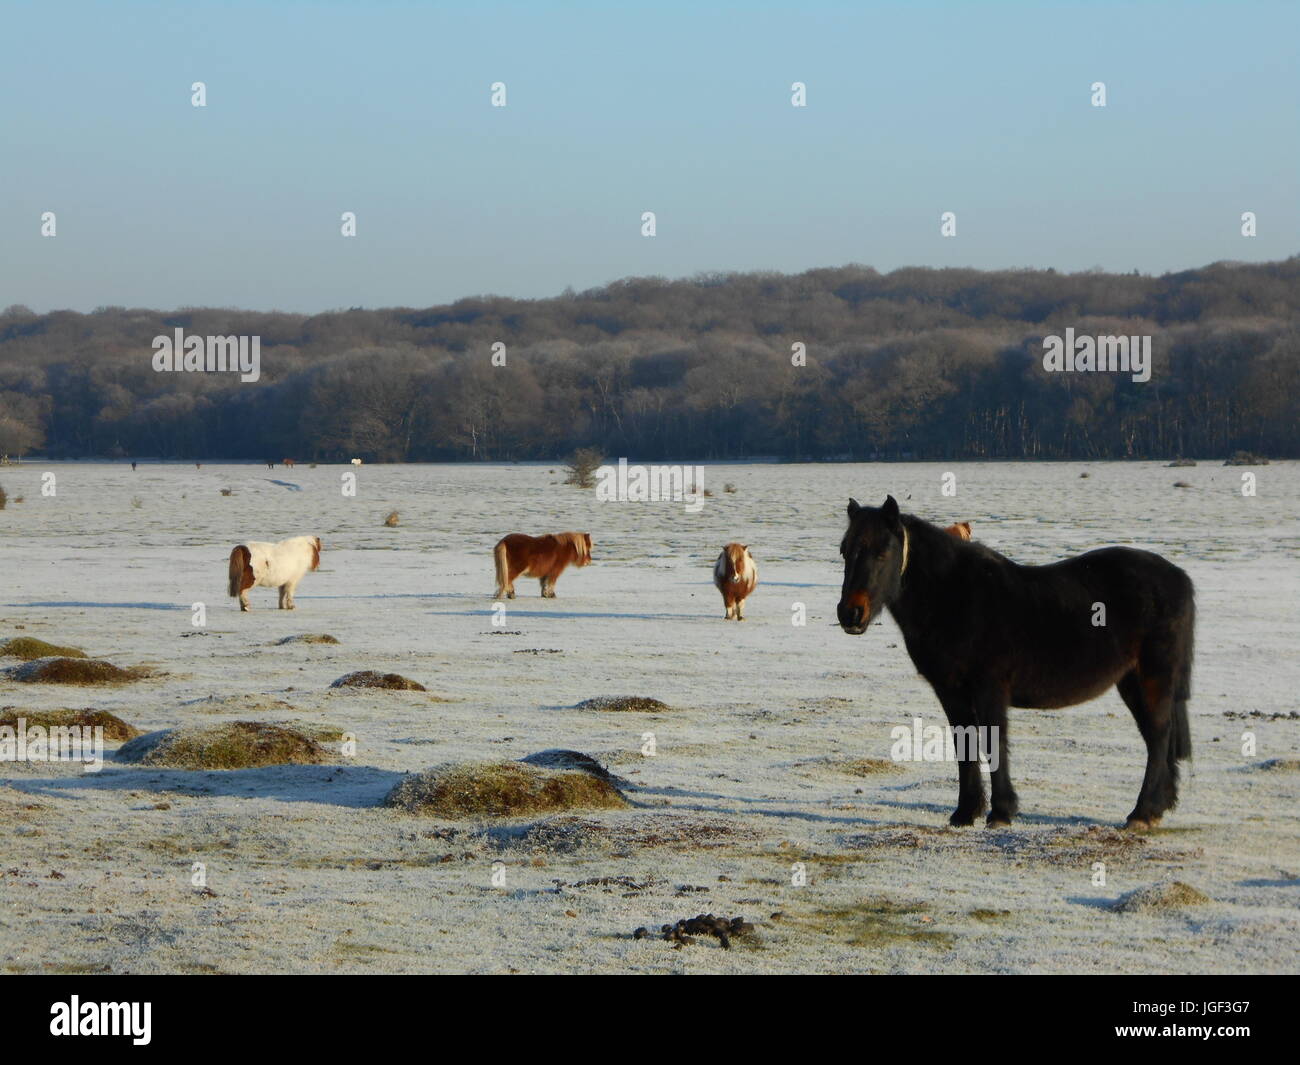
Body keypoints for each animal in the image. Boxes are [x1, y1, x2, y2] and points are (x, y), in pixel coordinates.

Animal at [837, 499, 1190, 832]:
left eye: (882, 552)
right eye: (844, 550)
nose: (850, 613)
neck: (955, 597)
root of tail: (1179, 578)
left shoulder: (989, 689)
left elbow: (993, 743)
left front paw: (1001, 813)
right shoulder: (952, 693)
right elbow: (965, 746)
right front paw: (965, 813)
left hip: (1153, 678)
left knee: (1159, 736)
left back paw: (1141, 813)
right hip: (1132, 683)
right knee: (1156, 738)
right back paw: (1158, 807)